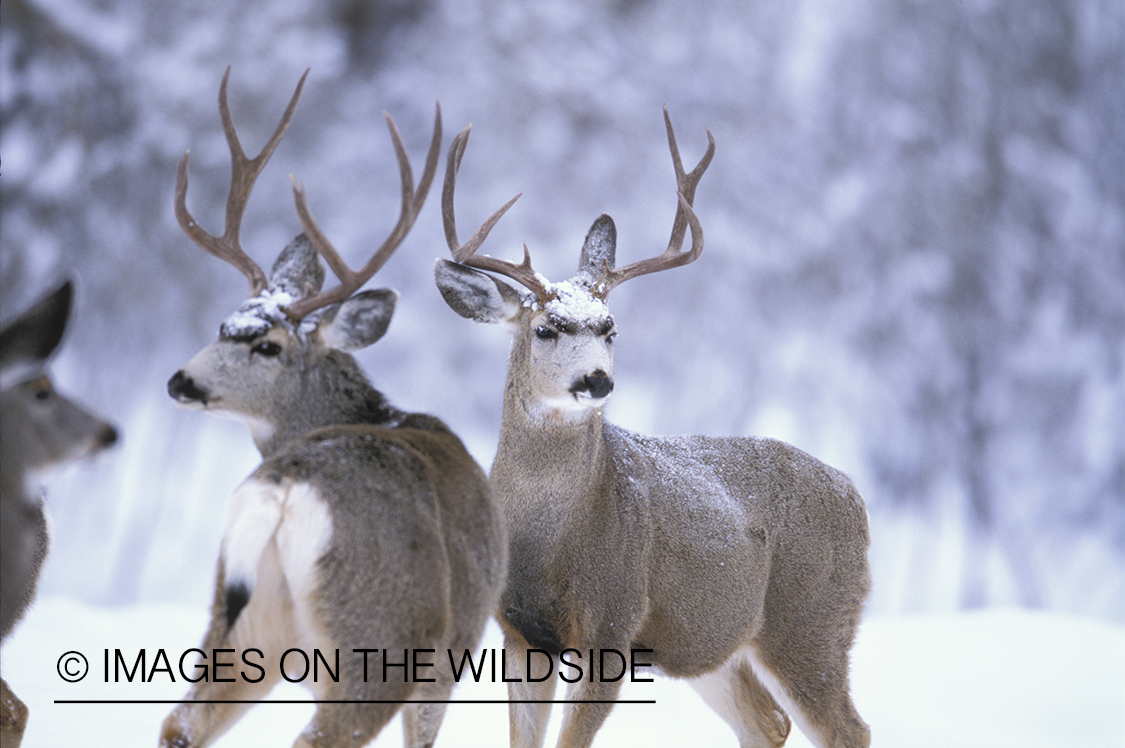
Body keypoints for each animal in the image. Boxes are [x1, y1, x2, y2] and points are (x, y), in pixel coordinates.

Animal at [158, 67, 506, 742]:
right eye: (223, 327)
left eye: (264, 343)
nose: (181, 381)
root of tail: (287, 490)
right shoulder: (454, 651)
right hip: (385, 629)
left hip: (241, 619)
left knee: (180, 722)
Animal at [434, 112, 873, 746]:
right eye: (546, 327)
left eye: (610, 327)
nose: (596, 380)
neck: (550, 539)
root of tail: (857, 497)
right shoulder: (520, 630)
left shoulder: (614, 619)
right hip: (712, 641)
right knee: (769, 722)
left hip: (811, 621)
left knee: (846, 728)